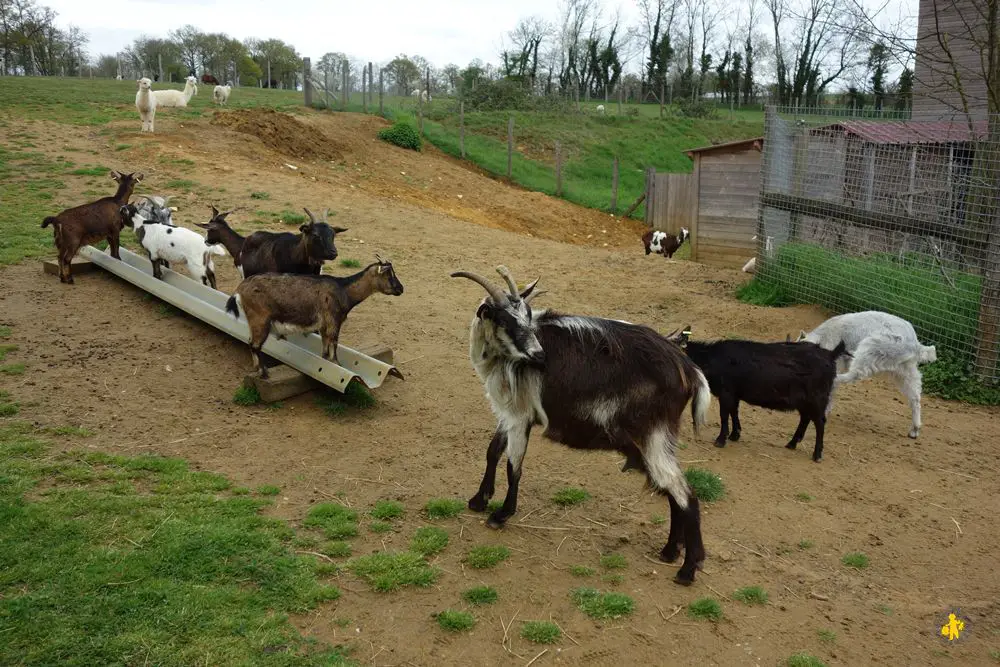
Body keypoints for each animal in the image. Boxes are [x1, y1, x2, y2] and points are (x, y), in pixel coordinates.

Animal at [226, 256, 402, 378]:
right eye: (389, 275)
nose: (401, 289)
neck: (344, 290)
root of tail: (240, 289)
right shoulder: (333, 321)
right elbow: (334, 345)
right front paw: (337, 364)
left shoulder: (324, 326)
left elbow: (324, 349)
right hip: (260, 319)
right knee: (254, 345)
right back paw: (264, 373)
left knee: (250, 342)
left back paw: (257, 369)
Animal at [450, 264, 716, 584]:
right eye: (504, 319)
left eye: (527, 315)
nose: (539, 356)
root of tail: (689, 369)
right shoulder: (509, 412)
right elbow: (493, 451)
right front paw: (479, 499)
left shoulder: (519, 415)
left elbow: (514, 467)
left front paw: (501, 514)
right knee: (672, 490)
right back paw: (669, 552)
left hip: (654, 435)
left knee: (684, 493)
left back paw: (687, 570)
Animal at [668, 326, 848, 462]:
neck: (712, 358)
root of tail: (830, 355)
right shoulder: (734, 394)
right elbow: (734, 412)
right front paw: (735, 435)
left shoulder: (727, 392)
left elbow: (724, 415)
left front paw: (721, 440)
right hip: (804, 401)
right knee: (805, 418)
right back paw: (792, 443)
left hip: (817, 398)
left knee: (820, 422)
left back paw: (817, 454)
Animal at [796, 312, 936, 438]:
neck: (822, 337)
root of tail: (916, 345)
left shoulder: (836, 360)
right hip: (905, 370)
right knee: (915, 397)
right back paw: (914, 430)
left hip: (872, 347)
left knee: (853, 374)